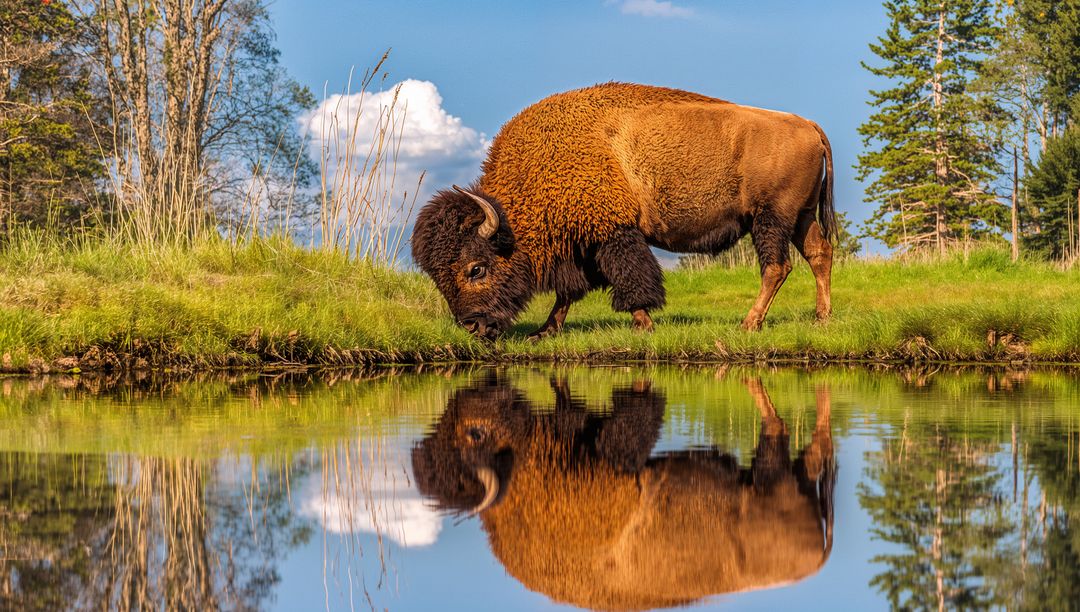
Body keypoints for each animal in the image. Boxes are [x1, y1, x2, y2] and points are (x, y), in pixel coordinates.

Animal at [411, 83, 835, 340]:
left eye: (476, 268)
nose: (473, 326)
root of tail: (809, 126)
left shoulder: (613, 232)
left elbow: (630, 279)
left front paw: (643, 324)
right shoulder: (581, 241)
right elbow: (569, 291)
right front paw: (545, 331)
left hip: (770, 219)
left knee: (776, 267)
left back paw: (749, 323)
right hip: (800, 218)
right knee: (819, 255)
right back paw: (821, 318)